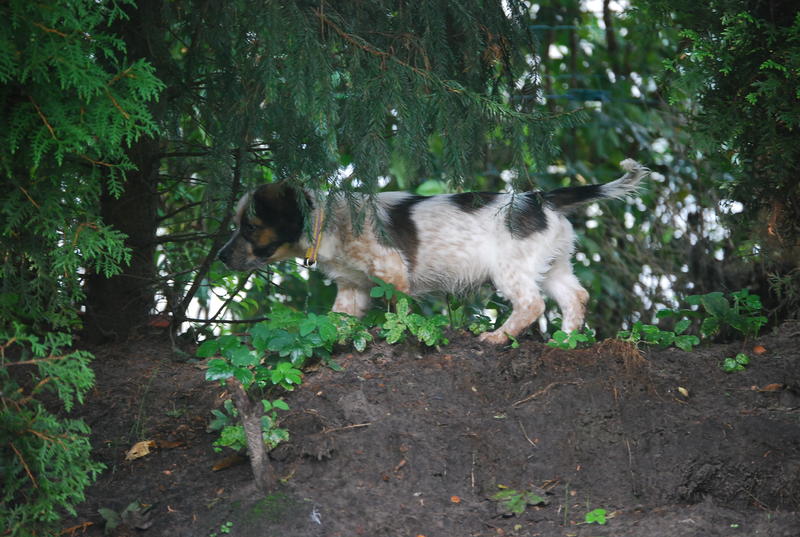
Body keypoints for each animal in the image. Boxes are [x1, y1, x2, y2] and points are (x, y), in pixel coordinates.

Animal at [219, 159, 648, 344]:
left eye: (249, 227)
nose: (221, 258)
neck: (331, 220)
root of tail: (540, 199)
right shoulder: (352, 287)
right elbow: (337, 320)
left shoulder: (390, 271)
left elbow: (398, 313)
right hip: (554, 262)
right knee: (576, 296)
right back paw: (566, 340)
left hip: (511, 267)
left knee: (531, 304)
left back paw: (497, 338)